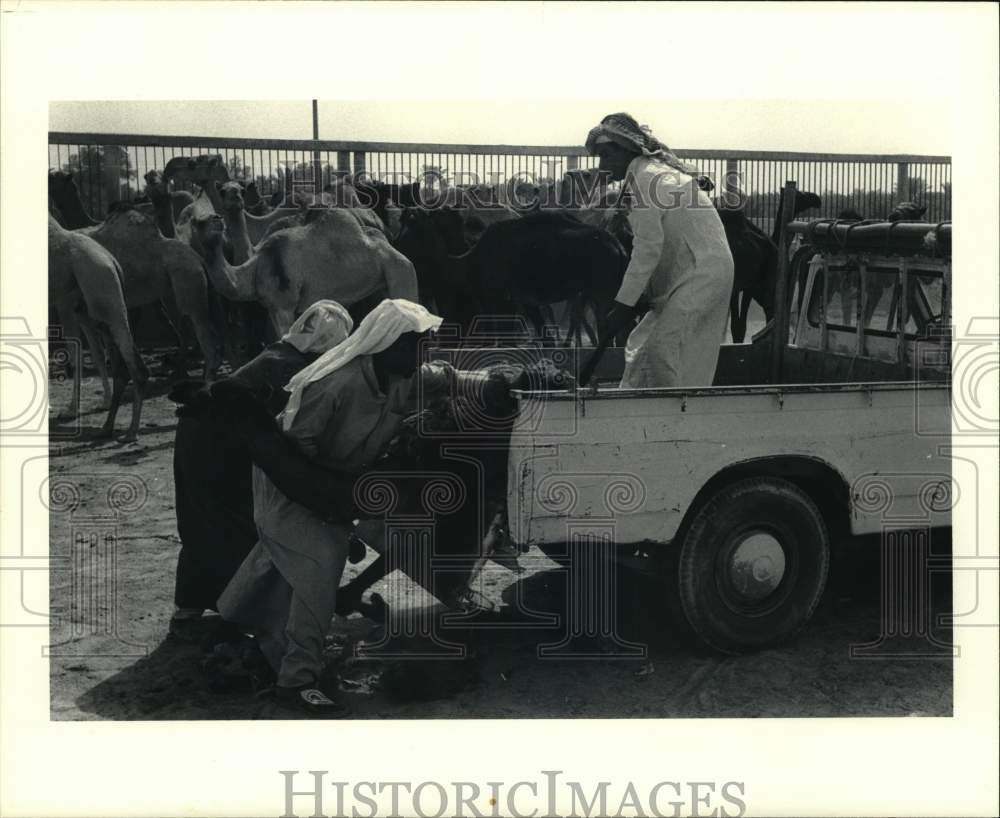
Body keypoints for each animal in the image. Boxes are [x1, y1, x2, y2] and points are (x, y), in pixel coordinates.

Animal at [49, 214, 147, 436]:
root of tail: (113, 262)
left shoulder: (64, 304)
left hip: (101, 301)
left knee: (127, 360)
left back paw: (129, 429)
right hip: (93, 308)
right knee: (107, 355)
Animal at [193, 207, 420, 334]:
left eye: (208, 220)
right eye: (197, 222)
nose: (217, 218)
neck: (254, 269)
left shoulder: (283, 305)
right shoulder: (272, 307)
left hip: (400, 269)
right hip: (380, 282)